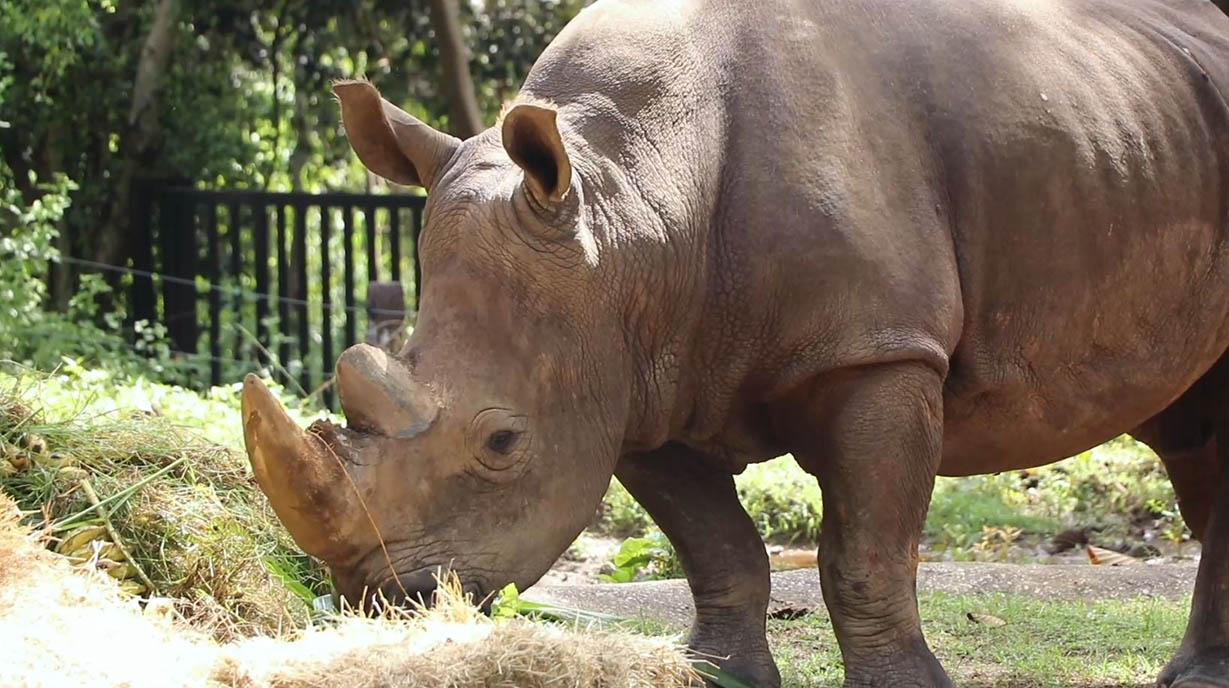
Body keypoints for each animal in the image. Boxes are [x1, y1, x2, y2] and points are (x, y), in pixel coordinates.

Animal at [240, 0, 1229, 685]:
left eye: (501, 442)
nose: (382, 601)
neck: (624, 206)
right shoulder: (626, 373)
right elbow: (717, 549)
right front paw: (719, 676)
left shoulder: (874, 349)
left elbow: (862, 555)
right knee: (1192, 433)